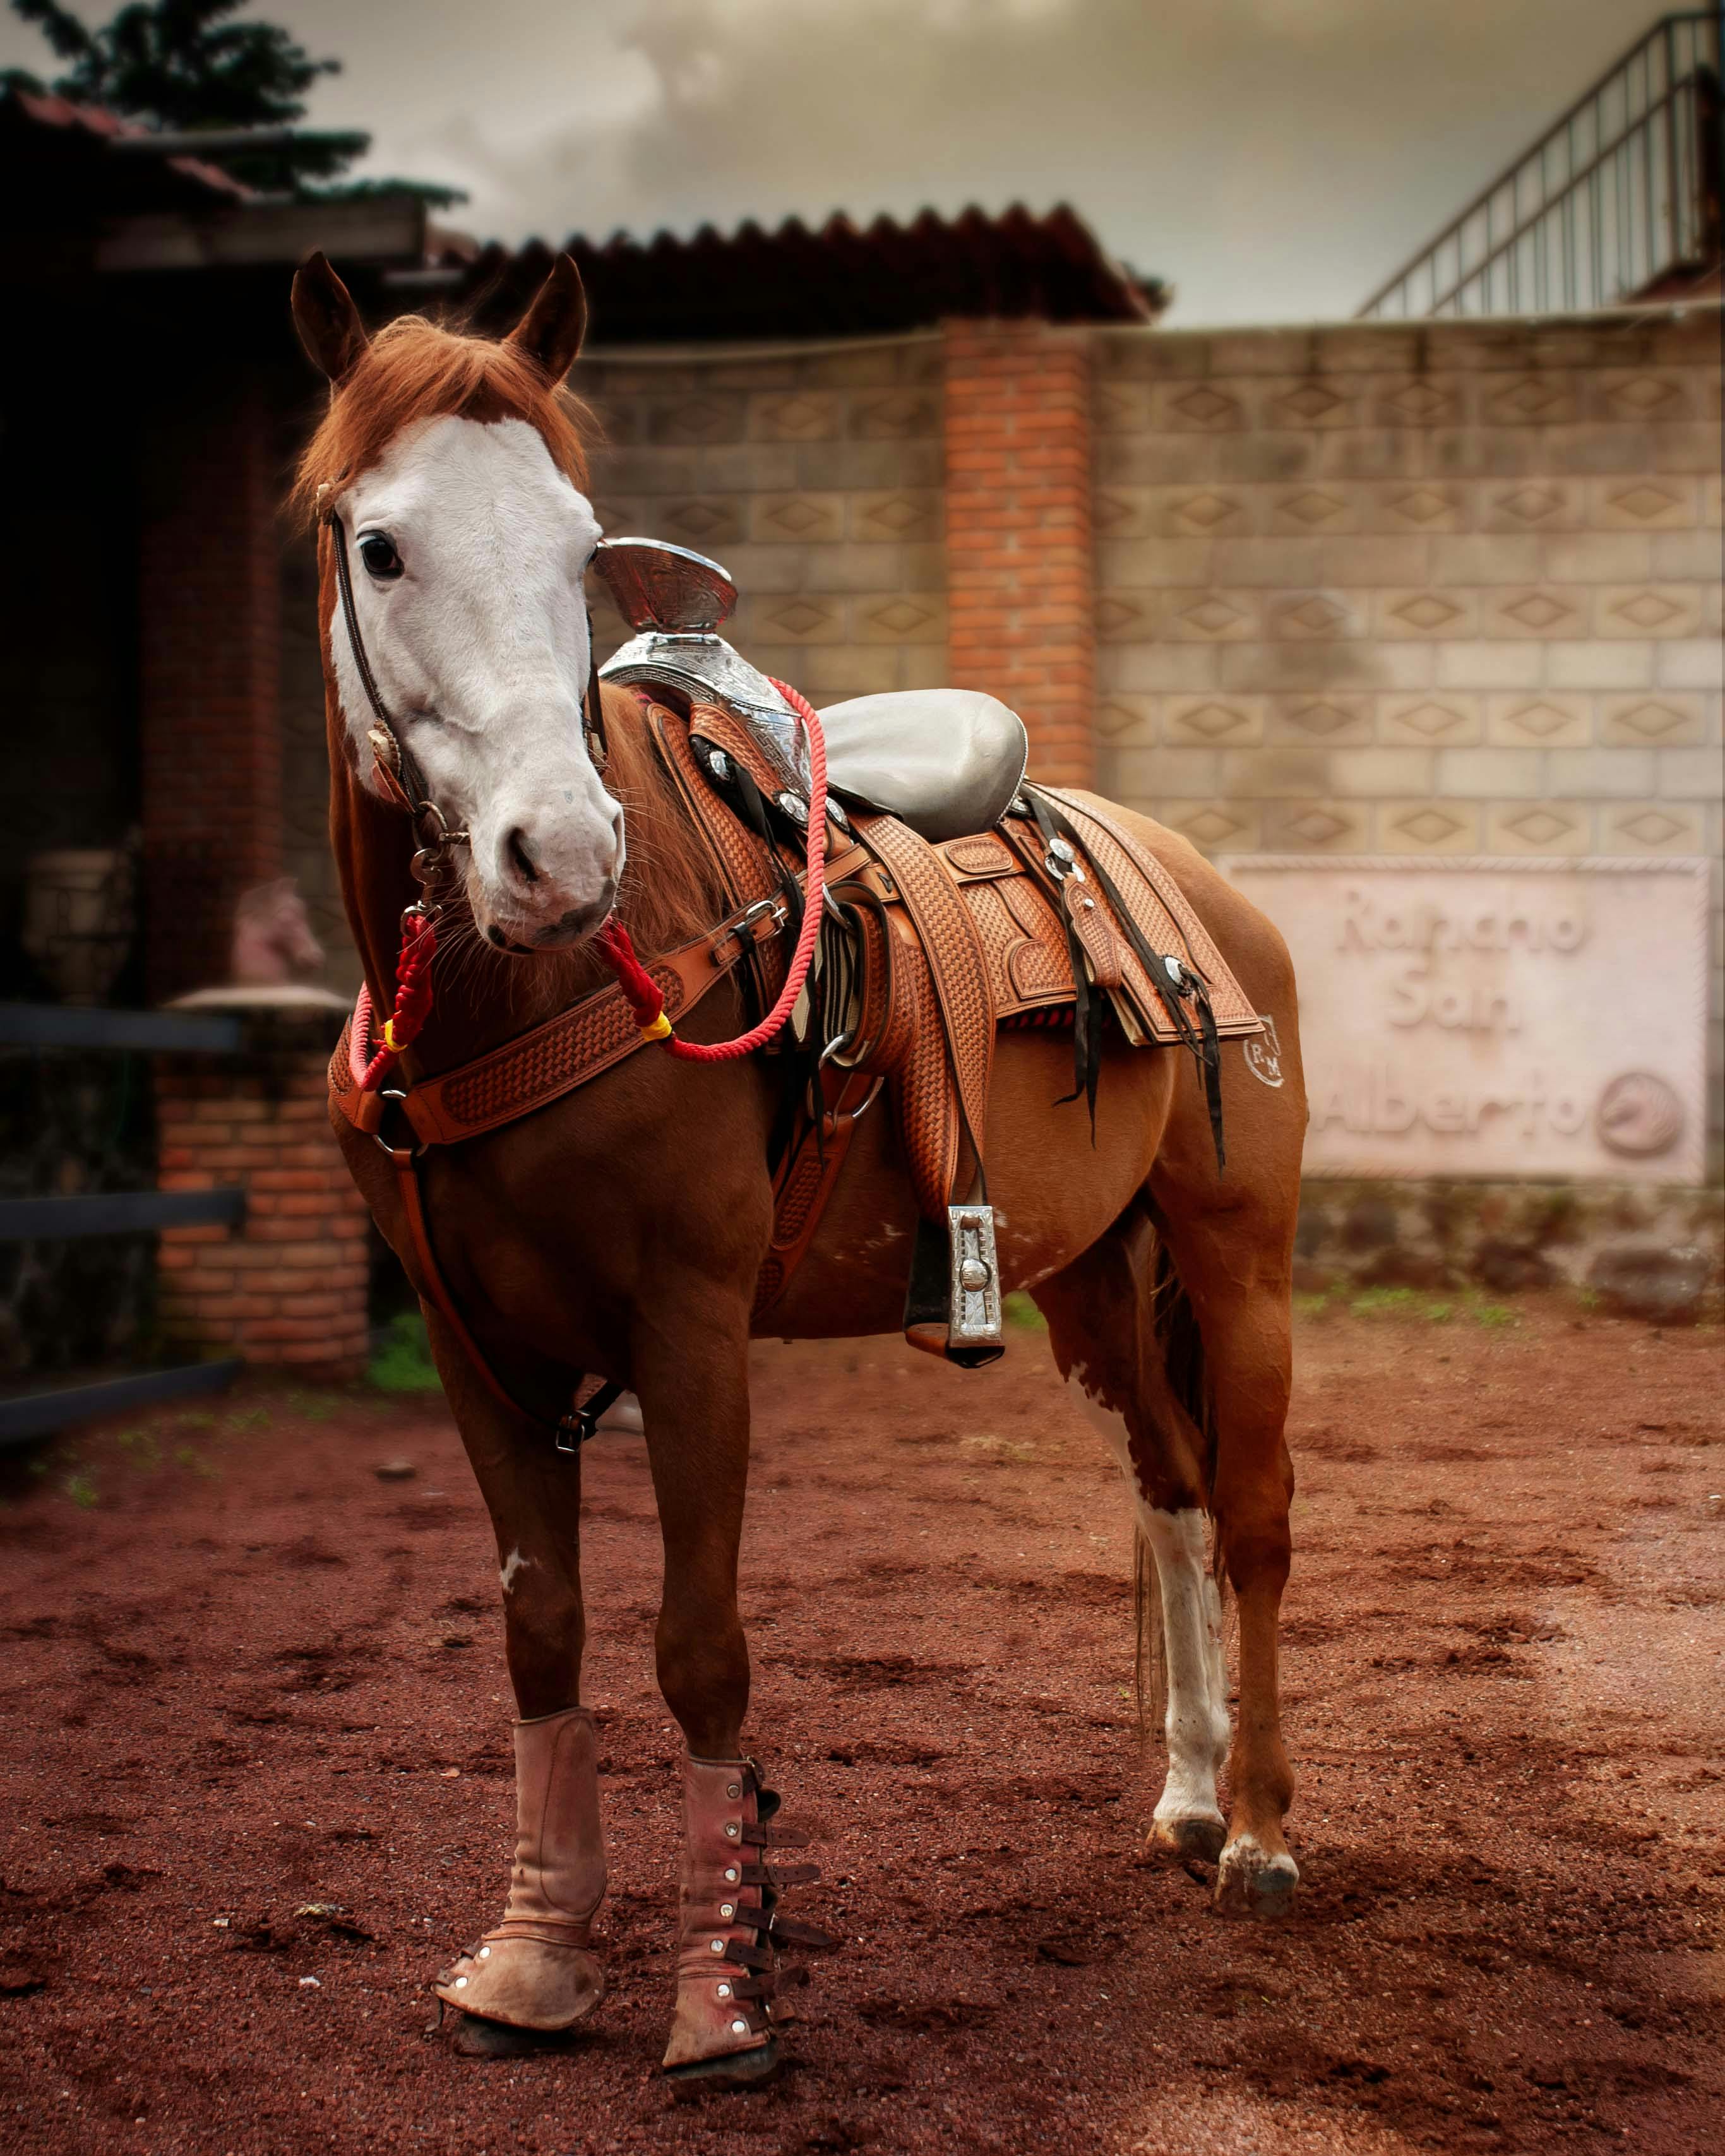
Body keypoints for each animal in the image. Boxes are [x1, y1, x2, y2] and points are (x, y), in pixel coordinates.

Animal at [289, 249, 1307, 2085]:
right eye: (379, 543)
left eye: (579, 546)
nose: (559, 853)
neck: (531, 983)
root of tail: (1197, 881)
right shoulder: (477, 1349)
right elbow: (542, 1631)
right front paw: (532, 1957)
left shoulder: (692, 1326)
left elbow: (699, 1644)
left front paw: (720, 1998)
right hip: (1090, 1283)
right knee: (1175, 1489)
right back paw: (1190, 1797)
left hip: (1237, 1253)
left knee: (1254, 1514)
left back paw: (1261, 1830)